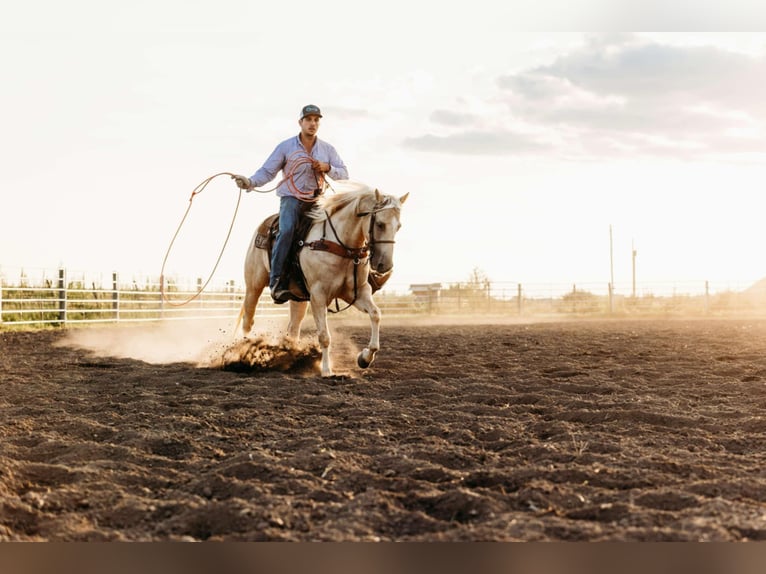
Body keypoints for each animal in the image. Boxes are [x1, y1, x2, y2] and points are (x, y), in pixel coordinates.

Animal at [242, 184, 408, 380]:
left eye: (398, 226)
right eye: (380, 224)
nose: (385, 265)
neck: (341, 246)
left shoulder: (357, 292)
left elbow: (376, 314)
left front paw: (365, 358)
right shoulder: (319, 295)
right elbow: (324, 336)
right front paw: (327, 370)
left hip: (298, 298)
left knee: (293, 328)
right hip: (254, 286)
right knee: (248, 320)